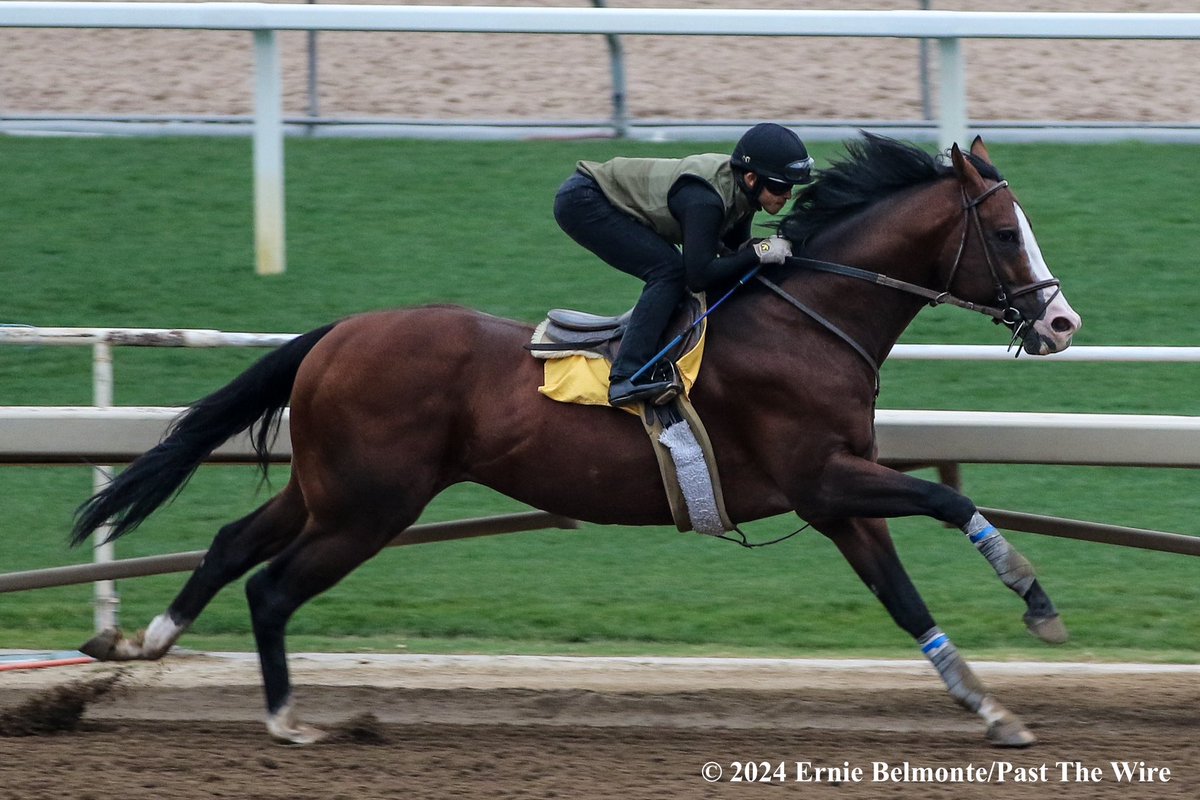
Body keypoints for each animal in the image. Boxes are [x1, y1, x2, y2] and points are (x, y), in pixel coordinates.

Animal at [77, 134, 1089, 748]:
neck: (807, 321)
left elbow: (903, 598)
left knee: (230, 545)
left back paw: (147, 643)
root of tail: (336, 333)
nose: (1061, 323)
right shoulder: (824, 478)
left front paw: (990, 706)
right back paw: (287, 722)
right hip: (370, 505)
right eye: (1007, 233)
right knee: (273, 585)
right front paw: (1036, 601)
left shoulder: (836, 497)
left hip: (331, 487)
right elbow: (950, 497)